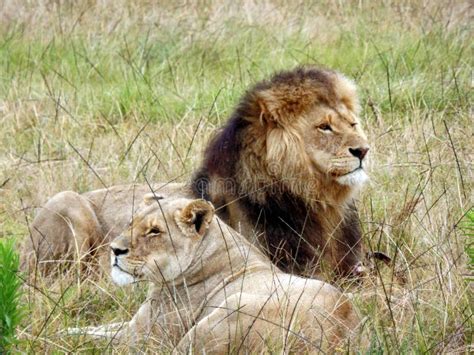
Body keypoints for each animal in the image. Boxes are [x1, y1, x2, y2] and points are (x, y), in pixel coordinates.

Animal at [64, 196, 360, 354]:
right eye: (131, 223)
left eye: (154, 231)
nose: (114, 250)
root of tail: (338, 334)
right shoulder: (133, 326)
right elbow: (94, 328)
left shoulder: (143, 336)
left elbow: (94, 336)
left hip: (220, 316)